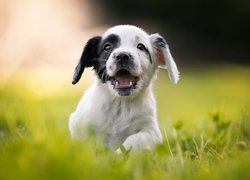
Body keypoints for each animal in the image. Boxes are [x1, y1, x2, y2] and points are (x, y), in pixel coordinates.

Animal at [69, 24, 179, 153]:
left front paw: (116, 155)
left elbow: (133, 140)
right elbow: (86, 145)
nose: (122, 56)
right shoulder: (78, 124)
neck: (121, 104)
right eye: (107, 47)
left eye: (141, 46)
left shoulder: (151, 131)